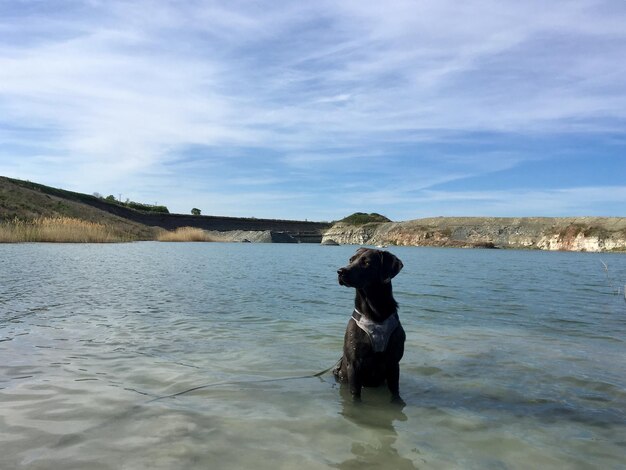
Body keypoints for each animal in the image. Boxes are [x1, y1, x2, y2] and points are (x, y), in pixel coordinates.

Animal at [332, 246, 404, 404]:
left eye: (366, 263)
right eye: (351, 260)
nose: (340, 271)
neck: (375, 314)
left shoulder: (394, 362)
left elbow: (395, 391)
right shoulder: (354, 363)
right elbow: (355, 395)